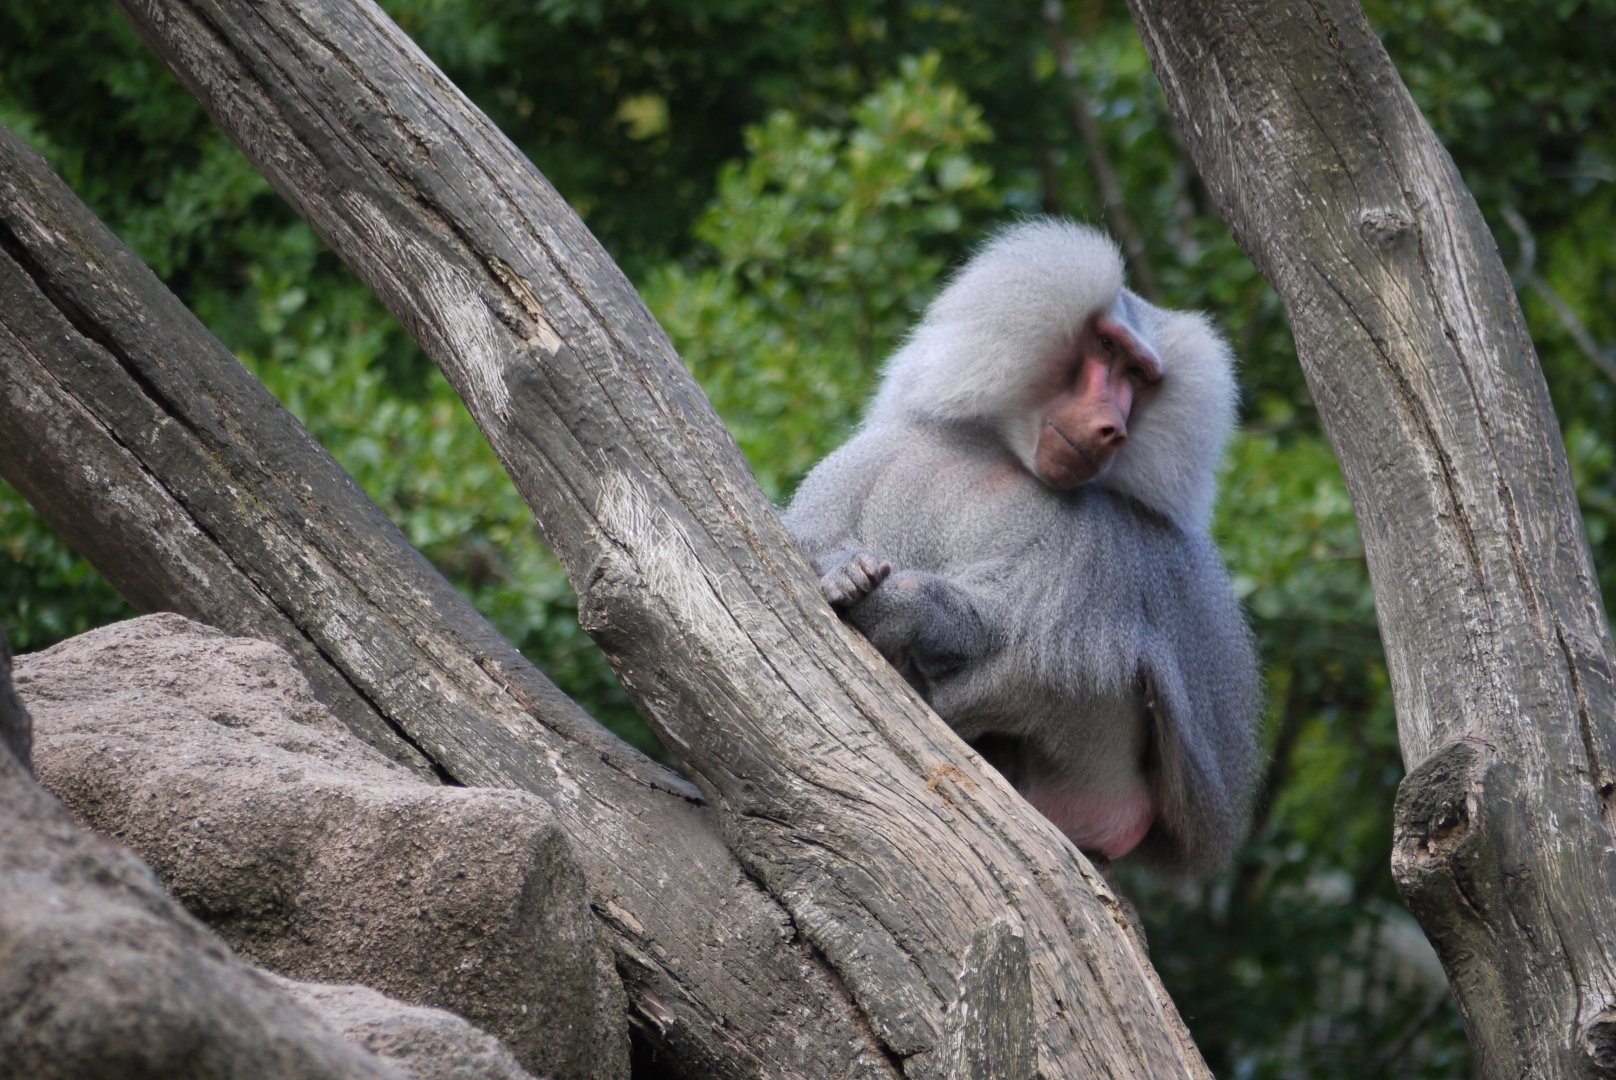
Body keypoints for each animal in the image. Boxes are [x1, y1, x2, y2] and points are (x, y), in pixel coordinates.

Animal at [785, 219, 1260, 875]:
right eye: (1106, 348)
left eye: (1139, 378)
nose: (1113, 428)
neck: (1002, 459)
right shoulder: (877, 454)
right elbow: (801, 536)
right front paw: (843, 572)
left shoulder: (1095, 549)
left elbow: (1017, 632)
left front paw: (898, 603)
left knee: (1061, 667)